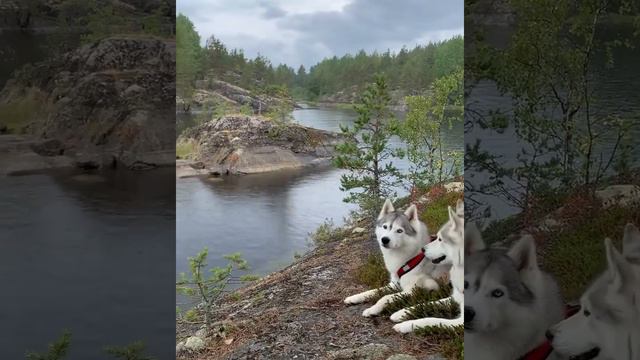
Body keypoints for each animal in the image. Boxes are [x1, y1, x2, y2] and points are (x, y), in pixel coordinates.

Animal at [390, 198, 464, 334]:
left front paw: (405, 325)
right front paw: (401, 312)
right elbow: (428, 303)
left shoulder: (461, 322)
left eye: (440, 239)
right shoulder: (455, 297)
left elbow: (431, 319)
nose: (422, 249)